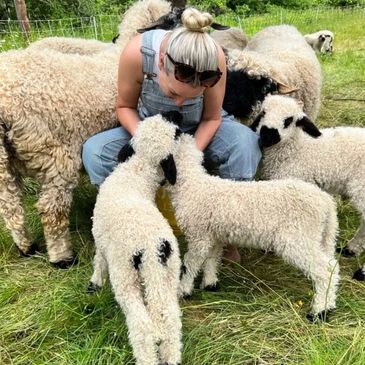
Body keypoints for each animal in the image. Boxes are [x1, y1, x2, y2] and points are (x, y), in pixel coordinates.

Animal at [0, 0, 172, 268]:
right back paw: (62, 257)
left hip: (5, 162)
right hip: (55, 154)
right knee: (51, 209)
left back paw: (26, 247)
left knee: (10, 205)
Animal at [89, 114, 182, 364]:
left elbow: (98, 261)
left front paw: (95, 282)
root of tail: (151, 249)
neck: (135, 173)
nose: (178, 115)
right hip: (170, 273)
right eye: (174, 128)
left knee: (141, 325)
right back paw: (171, 357)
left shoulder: (99, 238)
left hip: (125, 277)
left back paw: (145, 358)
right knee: (171, 319)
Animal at [166, 130, 340, 318]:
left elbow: (190, 264)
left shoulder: (199, 236)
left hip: (298, 238)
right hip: (321, 237)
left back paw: (319, 312)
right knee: (332, 265)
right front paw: (210, 283)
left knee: (325, 270)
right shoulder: (214, 235)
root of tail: (326, 203)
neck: (192, 186)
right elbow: (212, 259)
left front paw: (183, 290)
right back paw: (329, 304)